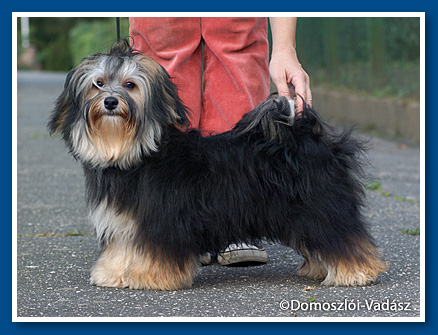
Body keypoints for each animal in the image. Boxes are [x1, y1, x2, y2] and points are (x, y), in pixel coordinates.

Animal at [48, 40, 386, 292]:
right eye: (98, 84)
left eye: (130, 85)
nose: (110, 102)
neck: (133, 153)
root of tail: (306, 133)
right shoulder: (125, 221)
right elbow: (121, 248)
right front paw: (113, 272)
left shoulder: (163, 220)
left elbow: (156, 252)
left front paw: (149, 277)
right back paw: (318, 267)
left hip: (321, 206)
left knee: (343, 236)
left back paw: (356, 271)